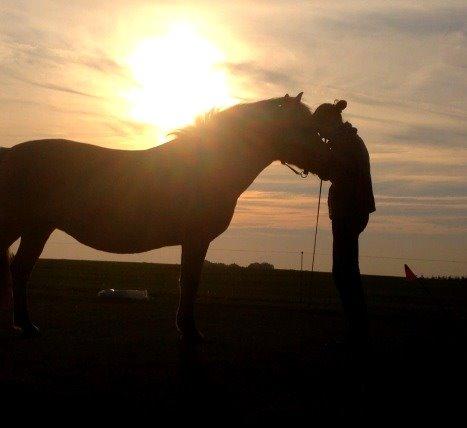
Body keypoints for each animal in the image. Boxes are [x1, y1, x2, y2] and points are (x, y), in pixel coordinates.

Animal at [0, 92, 330, 342]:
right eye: (302, 127)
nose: (328, 163)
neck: (209, 165)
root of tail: (10, 153)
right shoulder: (196, 239)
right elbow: (190, 281)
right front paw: (190, 331)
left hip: (38, 228)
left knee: (20, 270)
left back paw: (27, 325)